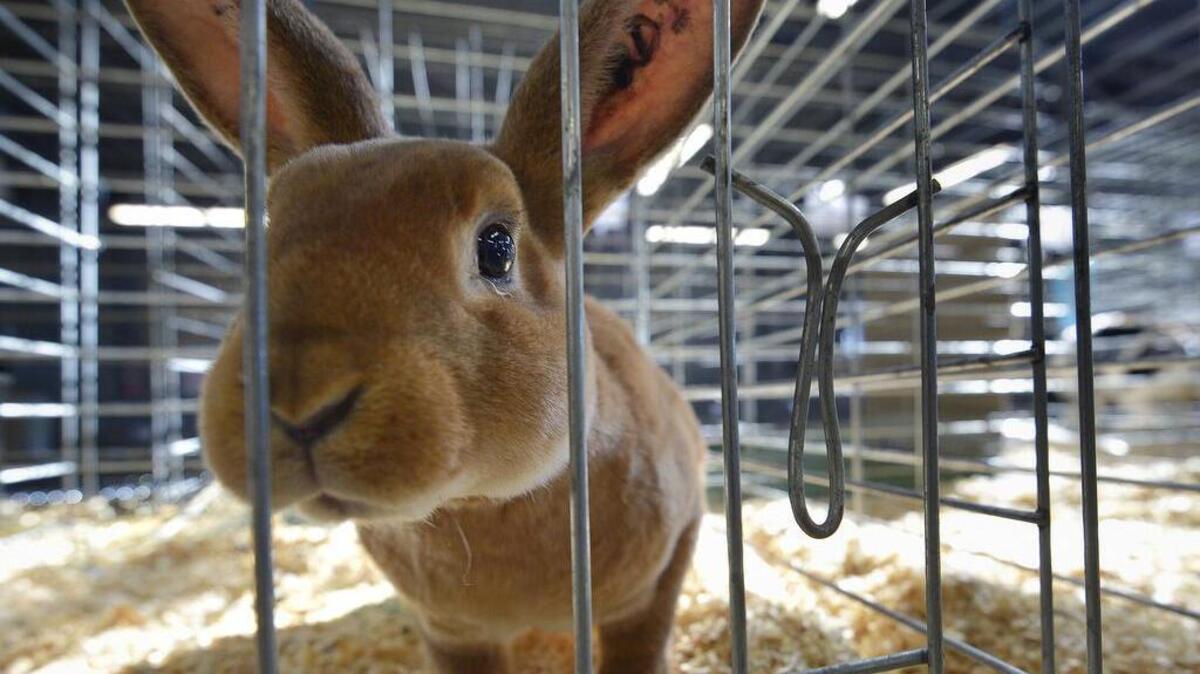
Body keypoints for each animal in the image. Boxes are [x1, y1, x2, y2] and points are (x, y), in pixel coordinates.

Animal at [124, 0, 764, 671]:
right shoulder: (451, 631)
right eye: (267, 233)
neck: (484, 506)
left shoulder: (663, 571)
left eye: (497, 247)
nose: (297, 396)